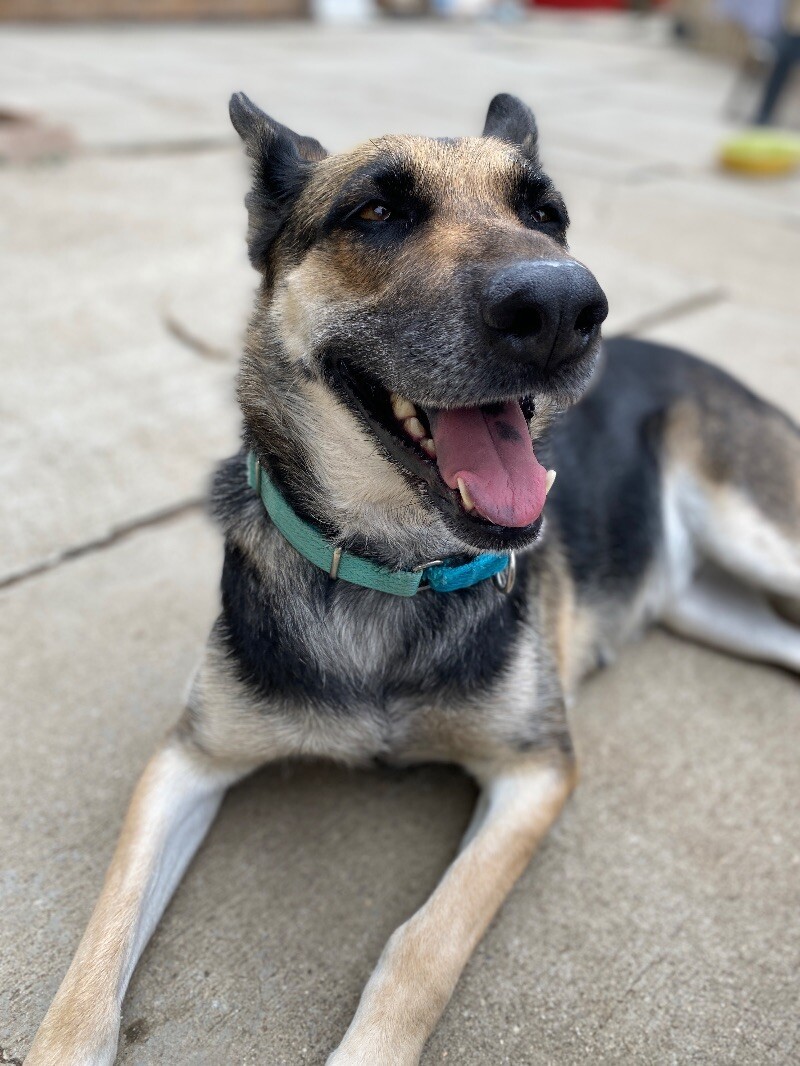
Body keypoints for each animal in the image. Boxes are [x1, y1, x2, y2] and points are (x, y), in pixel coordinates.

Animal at [26, 93, 800, 1066]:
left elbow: (423, 943)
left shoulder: (536, 771)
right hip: (710, 606)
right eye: (376, 212)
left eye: (546, 213)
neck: (392, 570)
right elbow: (96, 956)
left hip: (758, 531)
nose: (565, 306)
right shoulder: (186, 760)